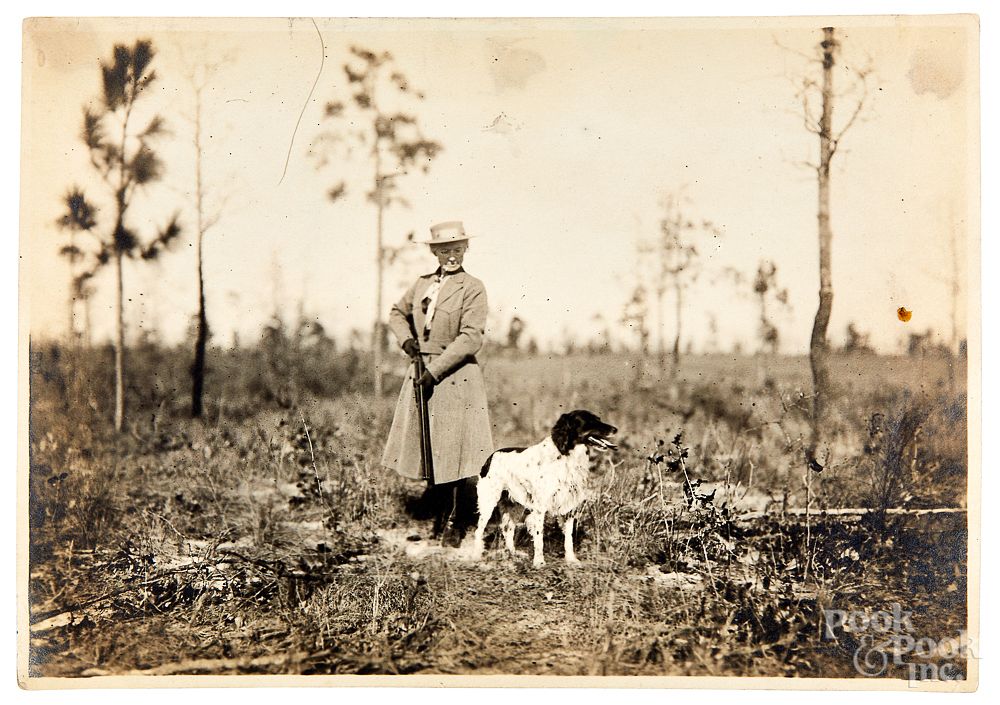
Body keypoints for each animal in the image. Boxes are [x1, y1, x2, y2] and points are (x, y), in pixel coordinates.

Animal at [470, 408, 616, 568]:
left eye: (598, 419)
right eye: (590, 421)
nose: (615, 429)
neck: (565, 454)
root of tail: (491, 456)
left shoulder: (569, 506)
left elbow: (569, 537)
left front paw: (571, 559)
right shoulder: (540, 507)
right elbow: (539, 538)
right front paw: (539, 561)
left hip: (516, 505)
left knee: (508, 529)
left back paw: (513, 554)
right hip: (489, 502)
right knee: (479, 530)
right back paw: (476, 555)